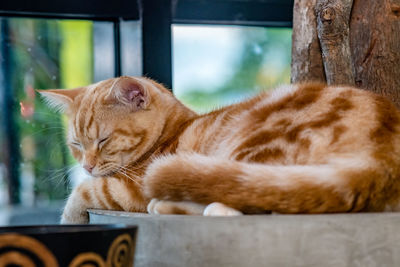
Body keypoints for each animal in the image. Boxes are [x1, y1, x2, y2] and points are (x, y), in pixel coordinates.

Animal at [39, 76, 400, 224]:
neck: (173, 131)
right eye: (75, 145)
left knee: (245, 203)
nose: (86, 166)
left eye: (103, 140)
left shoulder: (131, 188)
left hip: (254, 150)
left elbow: (84, 191)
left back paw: (165, 205)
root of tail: (382, 157)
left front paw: (70, 219)